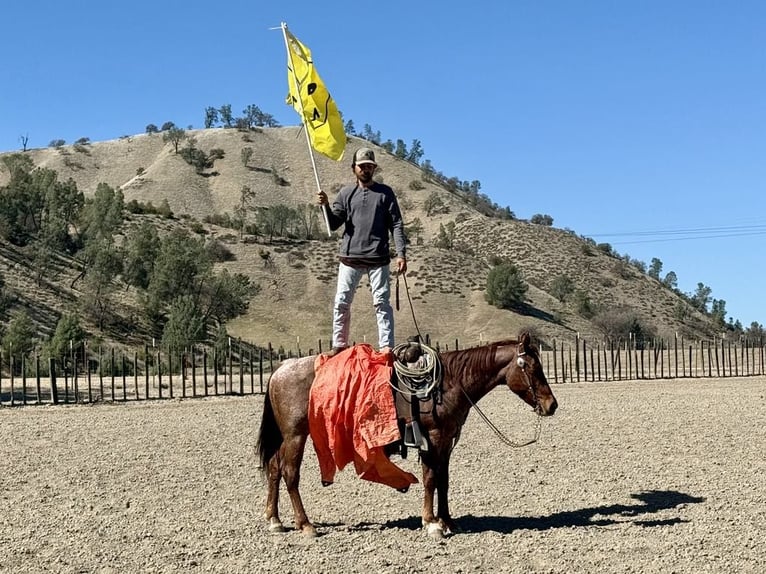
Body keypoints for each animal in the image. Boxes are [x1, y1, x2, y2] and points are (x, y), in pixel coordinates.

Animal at [255, 332, 558, 539]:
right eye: (532, 368)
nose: (551, 405)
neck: (448, 383)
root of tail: (281, 369)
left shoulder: (446, 441)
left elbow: (444, 481)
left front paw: (448, 520)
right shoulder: (433, 438)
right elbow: (430, 479)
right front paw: (431, 523)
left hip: (285, 437)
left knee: (274, 469)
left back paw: (275, 520)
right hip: (296, 435)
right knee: (290, 473)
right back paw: (306, 525)